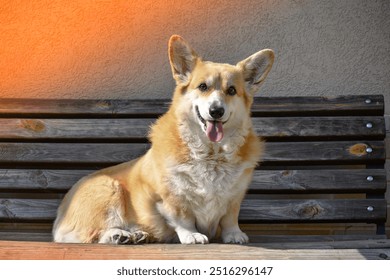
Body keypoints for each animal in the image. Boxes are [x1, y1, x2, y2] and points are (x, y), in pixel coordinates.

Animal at [53, 35, 274, 245]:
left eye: (232, 91)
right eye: (203, 87)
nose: (216, 111)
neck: (211, 154)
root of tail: (60, 214)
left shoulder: (234, 196)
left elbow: (230, 218)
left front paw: (234, 234)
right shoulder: (169, 197)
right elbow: (182, 218)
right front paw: (192, 235)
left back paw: (137, 235)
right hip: (109, 190)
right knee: (92, 234)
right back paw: (118, 235)